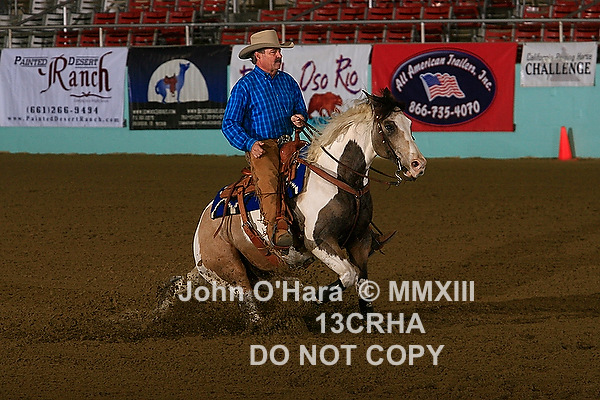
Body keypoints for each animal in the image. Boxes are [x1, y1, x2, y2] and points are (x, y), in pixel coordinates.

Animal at [157, 89, 426, 323]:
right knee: (248, 305)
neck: (338, 178)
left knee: (182, 284)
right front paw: (313, 299)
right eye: (389, 126)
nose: (418, 165)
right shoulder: (319, 242)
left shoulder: (360, 241)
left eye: (410, 124)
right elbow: (349, 275)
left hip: (235, 270)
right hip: (231, 270)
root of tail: (202, 227)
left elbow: (363, 281)